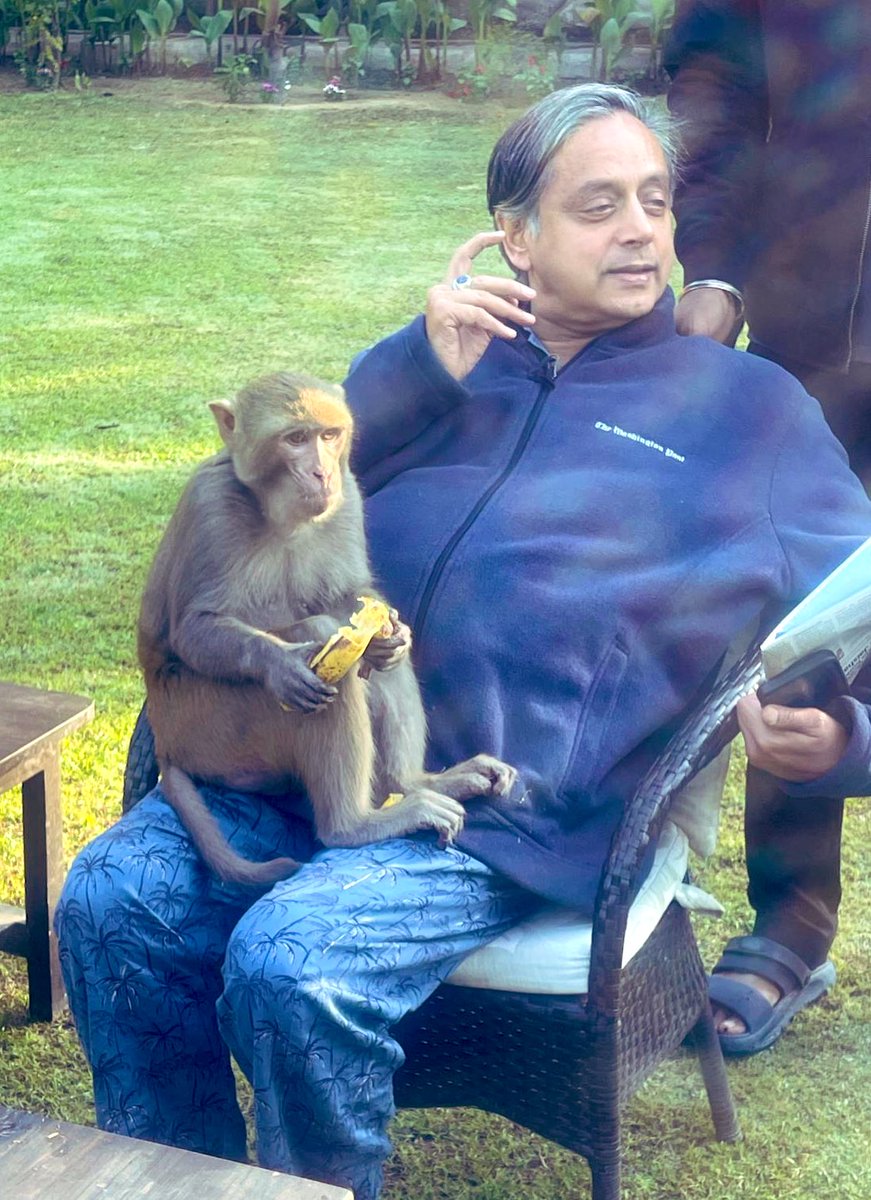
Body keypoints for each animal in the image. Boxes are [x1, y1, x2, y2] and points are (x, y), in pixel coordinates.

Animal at [138, 370, 517, 888]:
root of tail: (169, 743)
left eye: (330, 436)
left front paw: (392, 635)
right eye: (296, 439)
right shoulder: (211, 506)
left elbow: (352, 598)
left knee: (366, 660)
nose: (322, 474)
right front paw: (279, 664)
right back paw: (352, 826)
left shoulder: (348, 496)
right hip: (215, 732)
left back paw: (414, 781)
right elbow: (196, 630)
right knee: (321, 647)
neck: (279, 516)